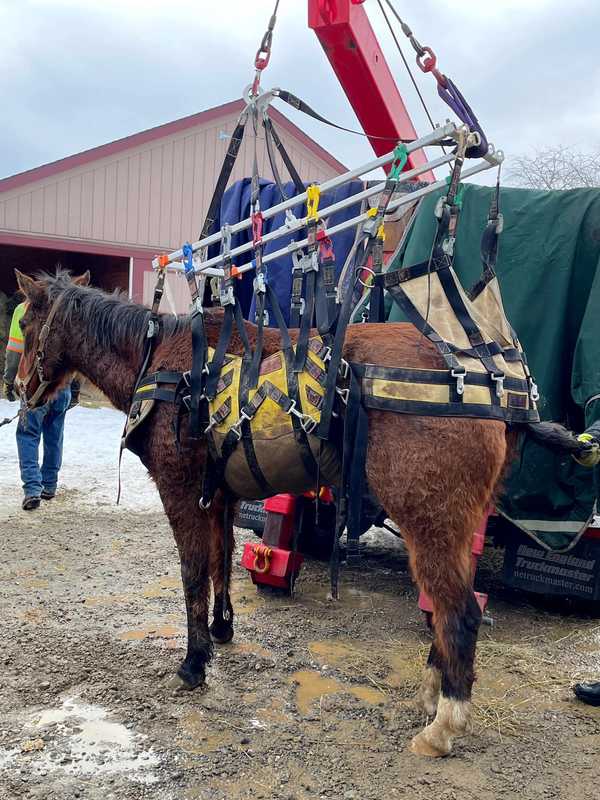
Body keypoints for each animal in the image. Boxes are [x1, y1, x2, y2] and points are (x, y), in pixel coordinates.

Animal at [16, 268, 516, 756]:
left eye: (27, 324)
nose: (19, 388)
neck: (163, 364)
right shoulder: (220, 497)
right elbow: (220, 561)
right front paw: (221, 629)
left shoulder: (180, 491)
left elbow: (193, 572)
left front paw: (193, 662)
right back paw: (431, 695)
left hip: (431, 523)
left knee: (459, 613)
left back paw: (443, 724)